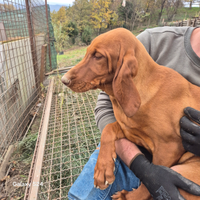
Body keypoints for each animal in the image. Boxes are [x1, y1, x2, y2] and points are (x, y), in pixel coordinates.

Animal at [61, 28, 200, 200]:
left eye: (98, 56)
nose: (64, 80)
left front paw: (130, 195)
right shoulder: (129, 130)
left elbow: (154, 178)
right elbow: (108, 129)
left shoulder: (170, 148)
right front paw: (103, 168)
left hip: (182, 173)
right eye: (87, 52)